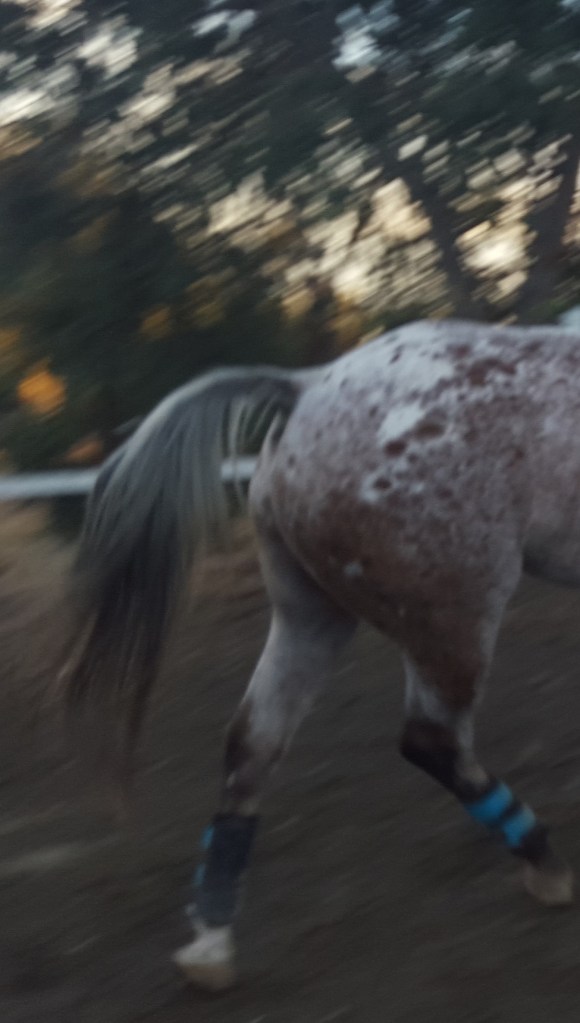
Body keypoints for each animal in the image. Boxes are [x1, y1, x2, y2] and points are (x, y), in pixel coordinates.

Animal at [65, 318, 580, 991]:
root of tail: (308, 387)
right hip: (453, 618)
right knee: (431, 740)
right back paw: (545, 863)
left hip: (310, 617)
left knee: (252, 744)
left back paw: (211, 939)